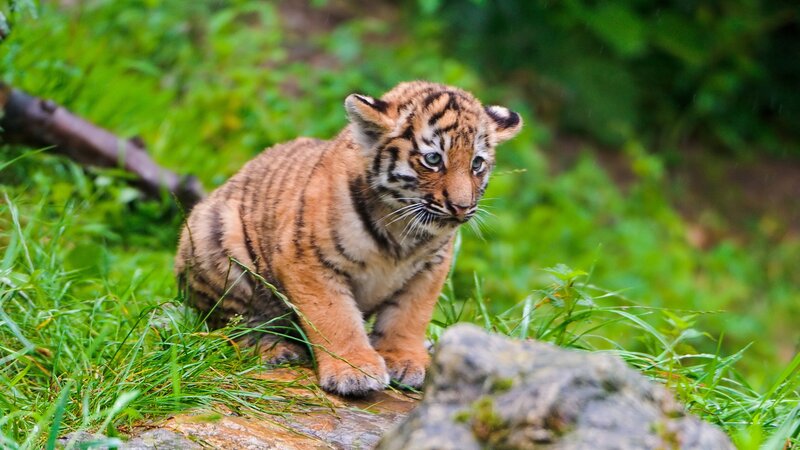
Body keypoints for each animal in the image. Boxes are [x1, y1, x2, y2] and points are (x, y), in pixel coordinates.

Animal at [174, 81, 522, 396]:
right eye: (433, 159)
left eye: (477, 163)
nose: (462, 207)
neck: (404, 229)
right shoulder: (307, 260)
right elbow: (336, 317)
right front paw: (354, 371)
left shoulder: (430, 267)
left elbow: (409, 316)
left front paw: (406, 360)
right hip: (216, 240)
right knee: (228, 323)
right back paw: (276, 349)